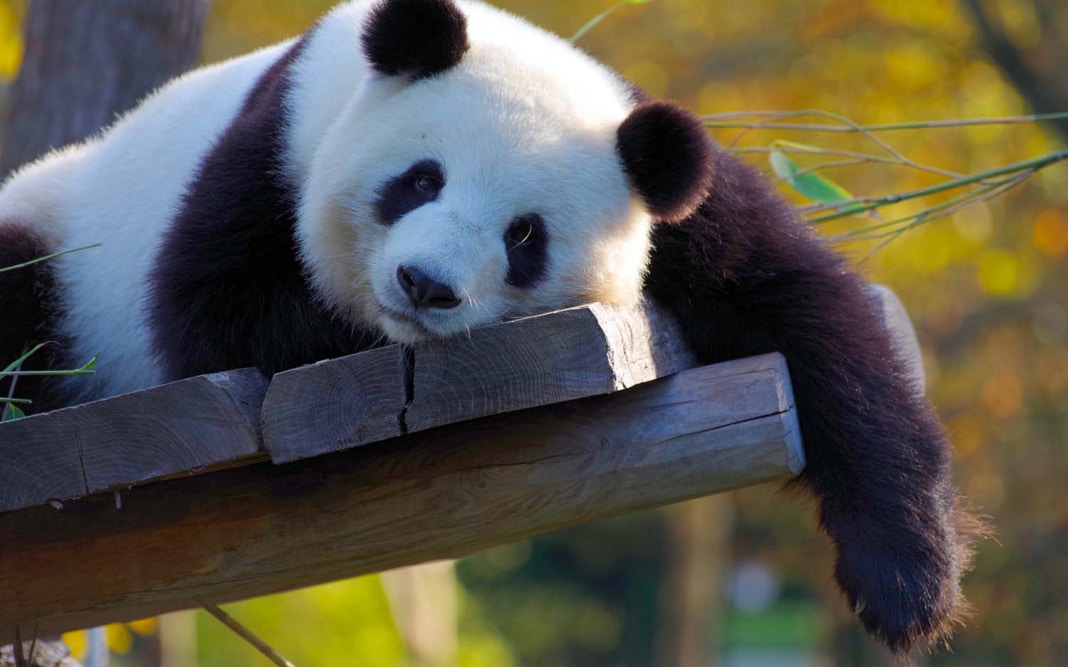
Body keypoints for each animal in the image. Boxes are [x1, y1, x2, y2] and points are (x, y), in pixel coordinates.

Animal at [0, 0, 977, 655]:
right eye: (420, 179)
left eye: (525, 236)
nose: (425, 285)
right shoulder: (275, 143)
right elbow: (216, 310)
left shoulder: (669, 196)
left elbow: (809, 311)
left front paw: (908, 582)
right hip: (58, 240)